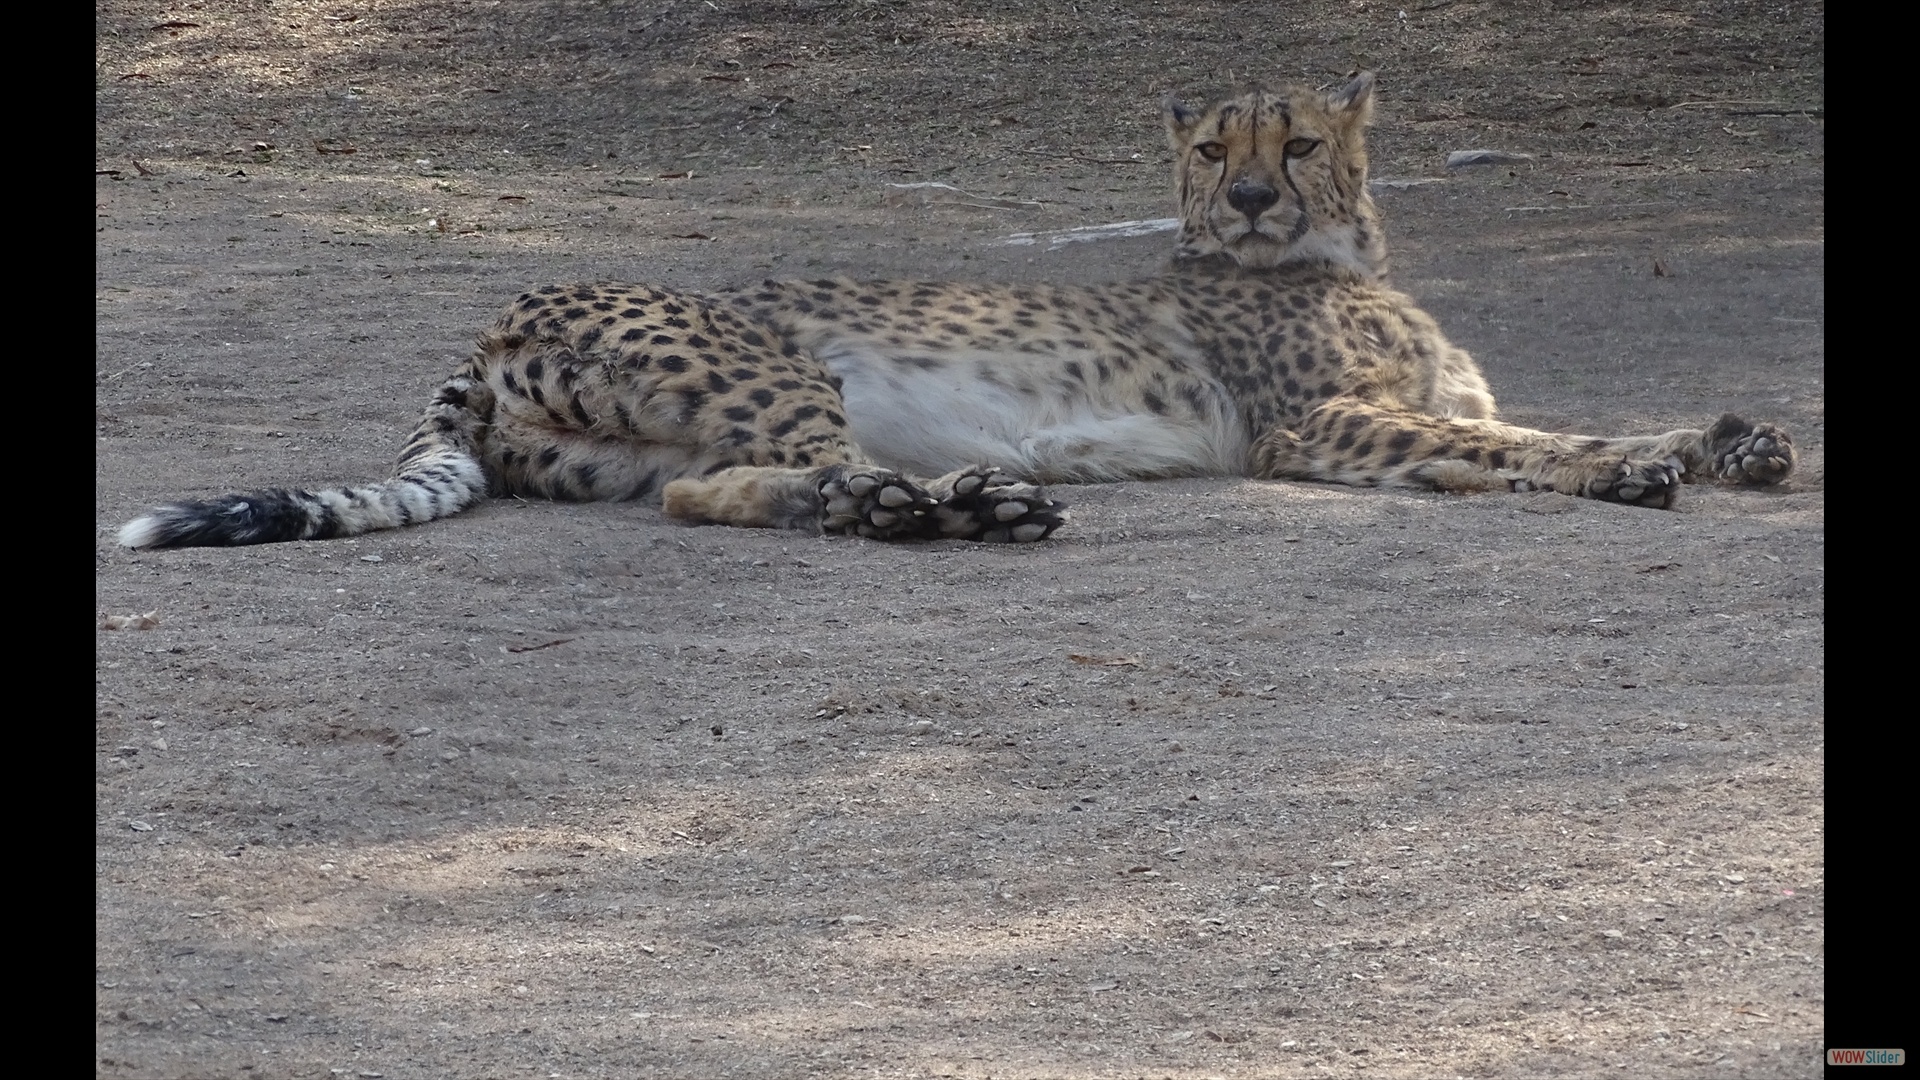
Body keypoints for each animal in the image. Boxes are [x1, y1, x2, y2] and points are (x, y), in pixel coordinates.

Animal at [112, 69, 1789, 545]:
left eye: (1298, 142)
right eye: (1213, 149)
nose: (1255, 198)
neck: (1335, 255)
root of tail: (489, 326)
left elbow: (1545, 421)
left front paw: (1727, 437)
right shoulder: (1321, 431)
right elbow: (1517, 450)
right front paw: (1635, 466)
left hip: (634, 449)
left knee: (716, 494)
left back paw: (943, 508)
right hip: (783, 368)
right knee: (768, 480)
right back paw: (958, 505)